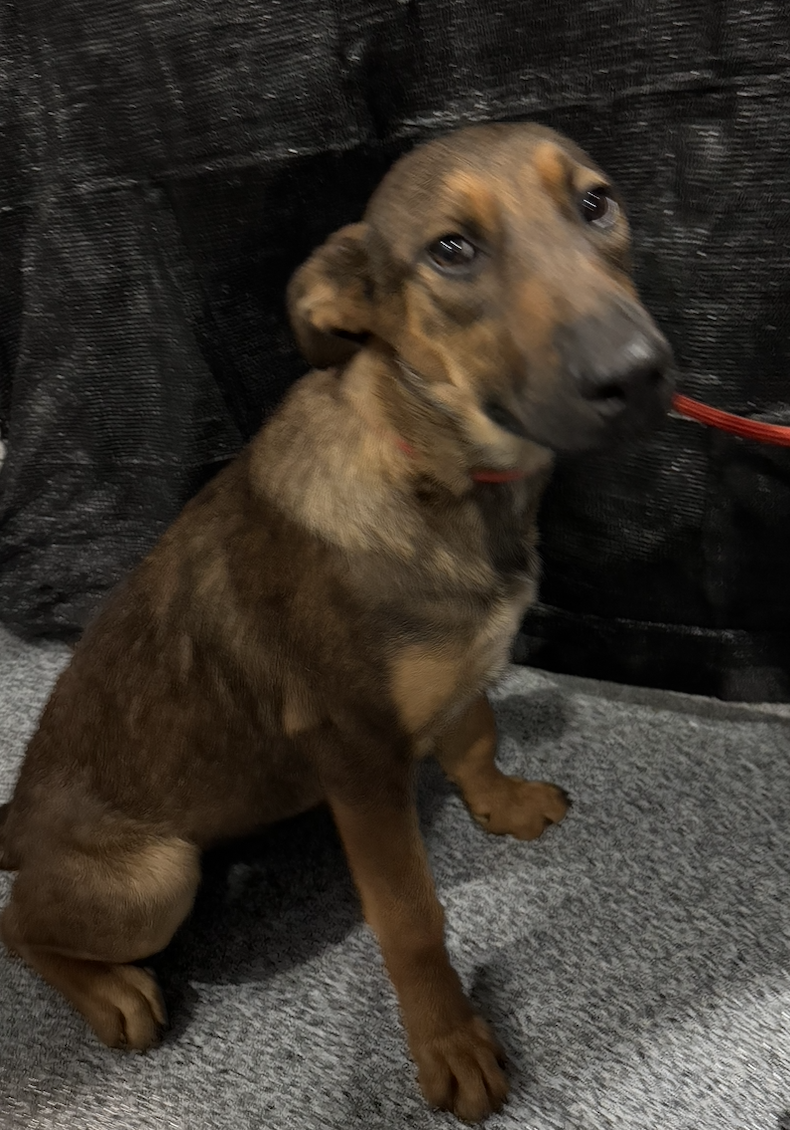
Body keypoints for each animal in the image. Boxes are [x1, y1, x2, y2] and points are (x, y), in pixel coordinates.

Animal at [0, 123, 673, 1122]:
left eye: (597, 204)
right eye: (451, 250)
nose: (639, 374)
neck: (443, 473)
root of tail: (15, 820)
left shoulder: (456, 674)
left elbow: (475, 735)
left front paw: (502, 802)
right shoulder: (356, 756)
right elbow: (411, 917)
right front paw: (448, 1040)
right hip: (155, 877)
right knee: (19, 925)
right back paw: (111, 990)